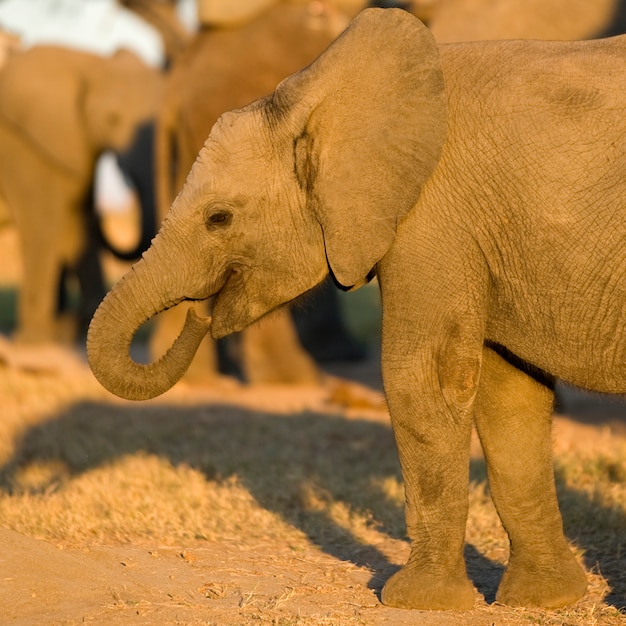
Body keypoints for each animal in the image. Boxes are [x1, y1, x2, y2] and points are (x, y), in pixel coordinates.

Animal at [0, 46, 163, 344]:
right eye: (112, 119)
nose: (105, 214)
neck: (91, 63)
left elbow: (75, 225)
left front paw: (67, 331)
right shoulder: (25, 149)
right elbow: (43, 227)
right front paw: (33, 342)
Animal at [86, 8, 624, 608]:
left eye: (218, 218)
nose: (201, 310)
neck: (316, 89)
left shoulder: (431, 212)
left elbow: (424, 376)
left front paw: (415, 602)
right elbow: (510, 391)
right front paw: (541, 601)